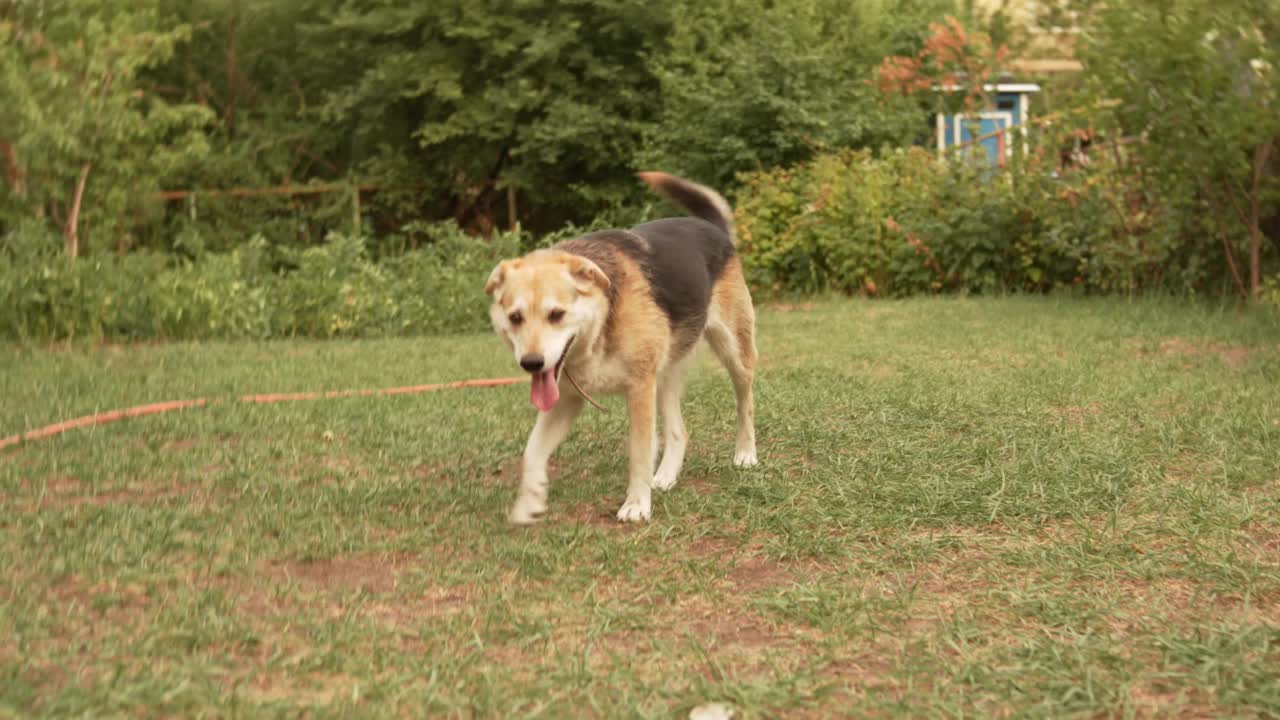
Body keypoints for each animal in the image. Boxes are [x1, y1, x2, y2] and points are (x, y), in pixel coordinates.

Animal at [483, 172, 752, 520]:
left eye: (556, 314)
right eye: (515, 317)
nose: (531, 363)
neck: (600, 328)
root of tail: (714, 229)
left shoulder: (638, 389)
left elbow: (639, 452)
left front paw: (636, 505)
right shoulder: (566, 399)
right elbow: (532, 451)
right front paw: (530, 502)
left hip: (734, 354)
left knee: (745, 404)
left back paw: (746, 454)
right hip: (664, 377)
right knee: (678, 432)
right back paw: (666, 477)